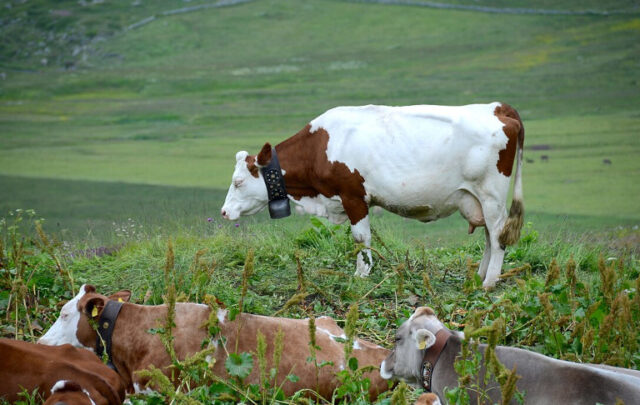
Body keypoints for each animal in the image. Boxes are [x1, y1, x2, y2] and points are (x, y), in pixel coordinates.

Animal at [221, 103, 524, 288]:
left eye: (238, 182)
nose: (224, 212)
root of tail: (497, 108)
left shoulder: (353, 196)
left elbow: (360, 238)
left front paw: (362, 273)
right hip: (479, 199)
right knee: (488, 236)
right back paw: (480, 275)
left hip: (491, 196)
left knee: (497, 235)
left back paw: (490, 281)